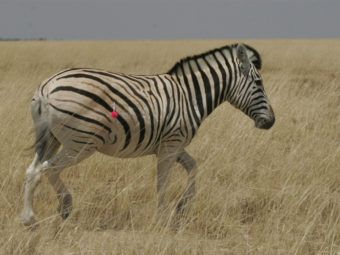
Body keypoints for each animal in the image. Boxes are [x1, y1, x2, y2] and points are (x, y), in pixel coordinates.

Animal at [21, 42, 274, 226]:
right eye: (258, 83)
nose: (271, 121)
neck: (190, 95)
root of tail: (46, 87)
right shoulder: (171, 144)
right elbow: (163, 182)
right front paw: (162, 218)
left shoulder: (173, 145)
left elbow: (193, 167)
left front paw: (182, 207)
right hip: (81, 142)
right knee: (48, 169)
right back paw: (60, 207)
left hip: (52, 139)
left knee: (33, 170)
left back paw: (30, 217)